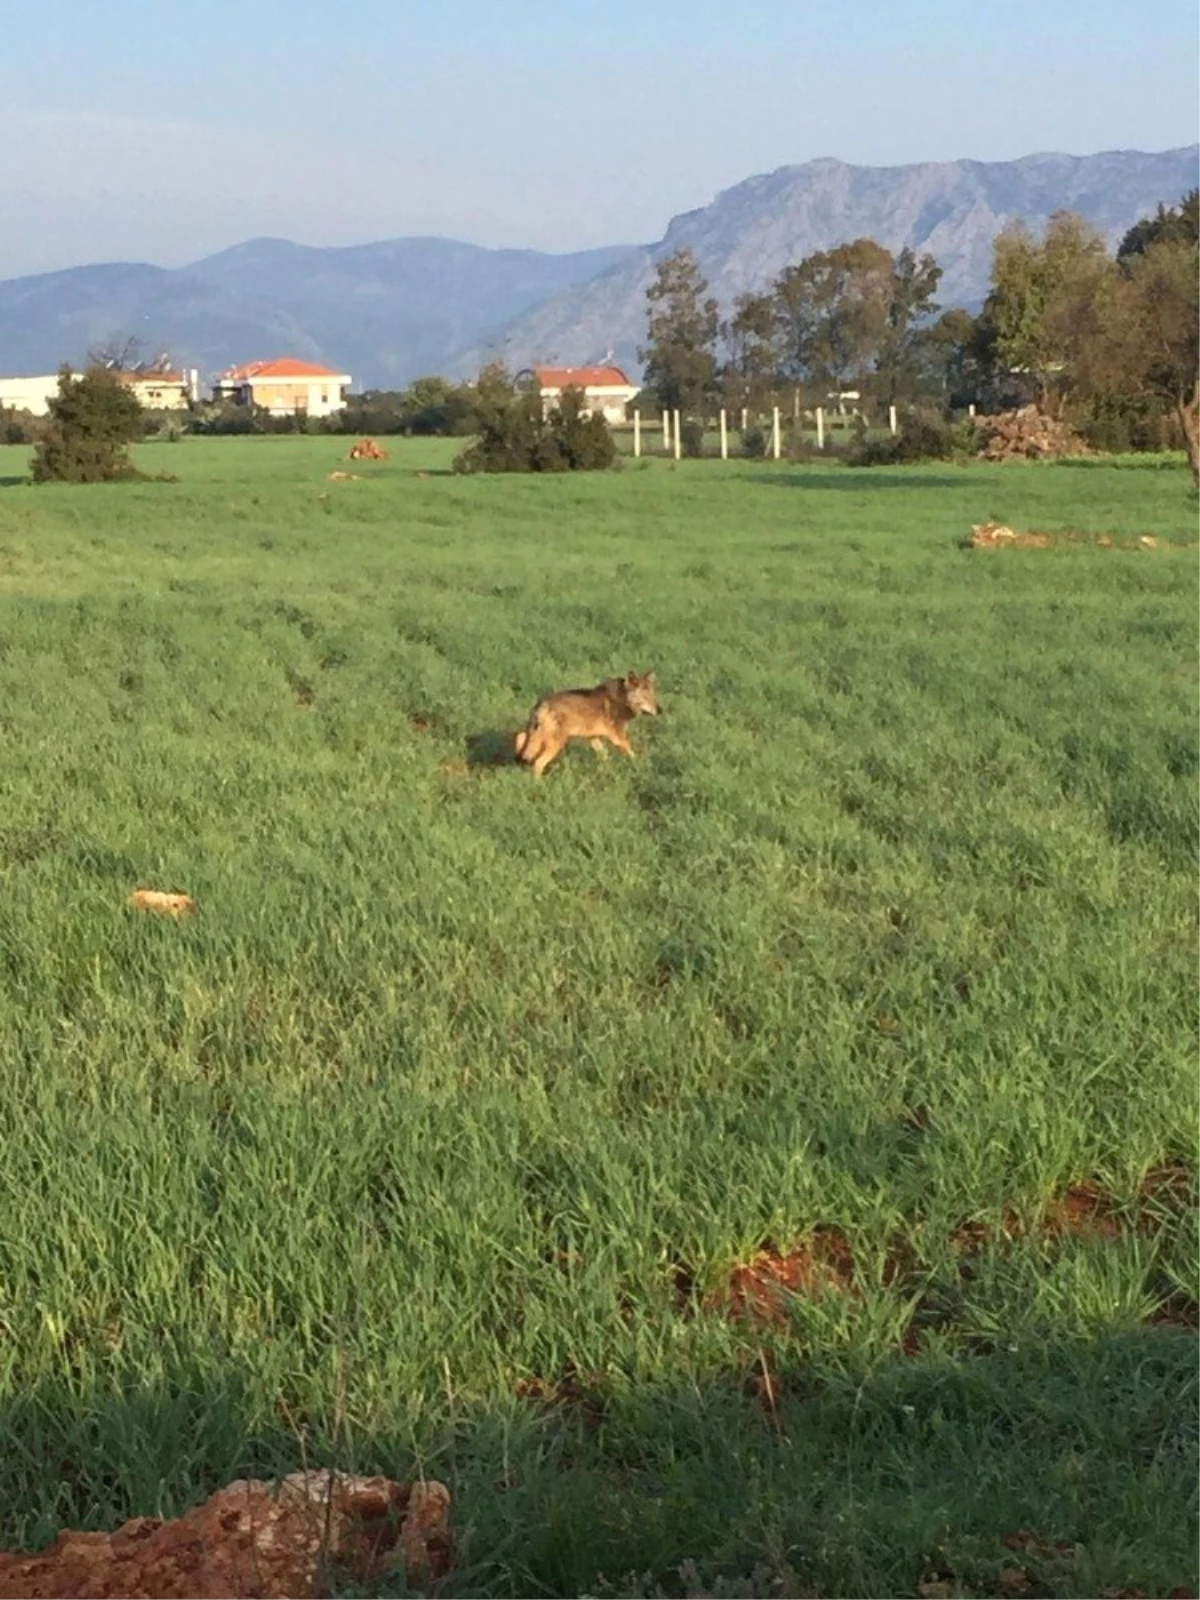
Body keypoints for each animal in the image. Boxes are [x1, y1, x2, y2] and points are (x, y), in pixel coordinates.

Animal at [515, 672, 662, 777]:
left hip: (535, 738)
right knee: (538, 763)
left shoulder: (594, 738)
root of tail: (543, 703)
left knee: (520, 740)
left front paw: (606, 772)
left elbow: (604, 756)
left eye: (654, 696)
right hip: (555, 744)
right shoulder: (618, 738)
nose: (660, 710)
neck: (623, 699)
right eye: (645, 697)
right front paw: (641, 766)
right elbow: (632, 754)